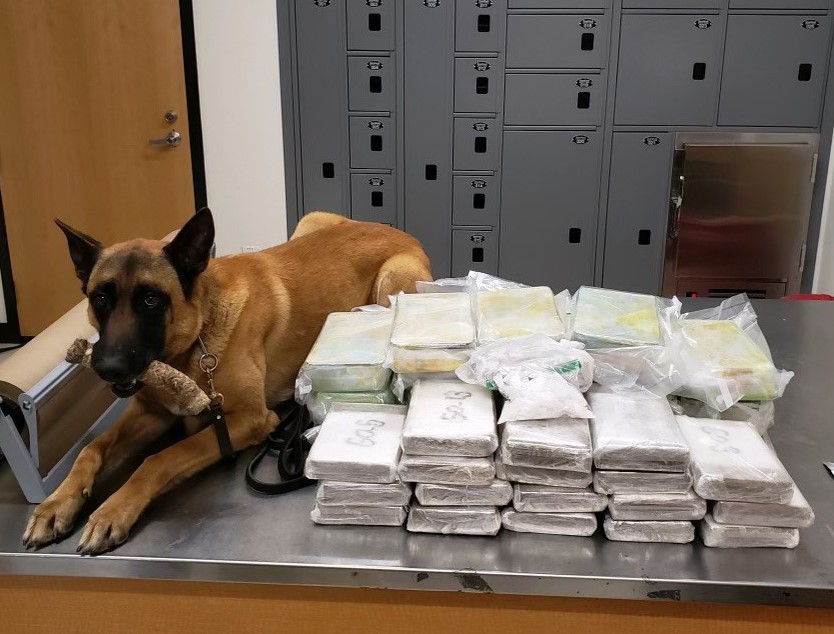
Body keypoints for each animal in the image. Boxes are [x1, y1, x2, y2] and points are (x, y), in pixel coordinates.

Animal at [22, 209, 432, 552]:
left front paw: (112, 511)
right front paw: (56, 504)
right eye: (100, 298)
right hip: (310, 222)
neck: (197, 338)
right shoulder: (153, 411)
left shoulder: (250, 419)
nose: (108, 367)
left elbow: (160, 457)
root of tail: (400, 232)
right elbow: (92, 448)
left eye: (151, 300)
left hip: (391, 282)